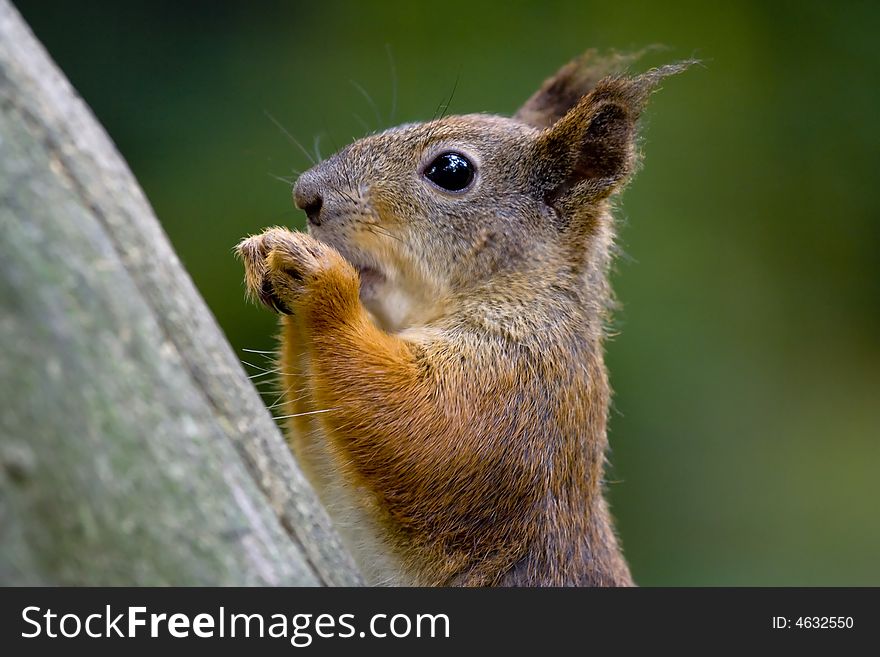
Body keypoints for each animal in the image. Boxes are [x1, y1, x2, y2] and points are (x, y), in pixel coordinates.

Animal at [237, 52, 692, 584]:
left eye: (451, 170)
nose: (305, 195)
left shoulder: (521, 386)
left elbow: (427, 424)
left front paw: (323, 281)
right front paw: (264, 251)